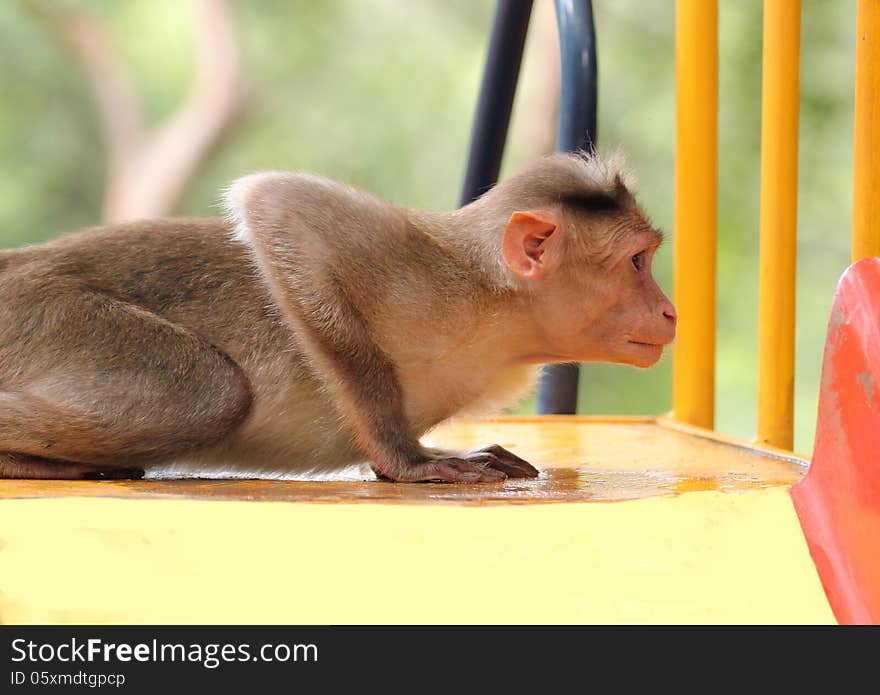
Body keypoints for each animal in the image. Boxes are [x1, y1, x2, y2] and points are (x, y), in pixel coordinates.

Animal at [0, 150, 676, 482]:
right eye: (636, 262)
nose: (669, 312)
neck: (499, 311)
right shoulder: (425, 268)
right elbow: (279, 206)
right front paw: (405, 459)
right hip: (42, 316)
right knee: (208, 395)